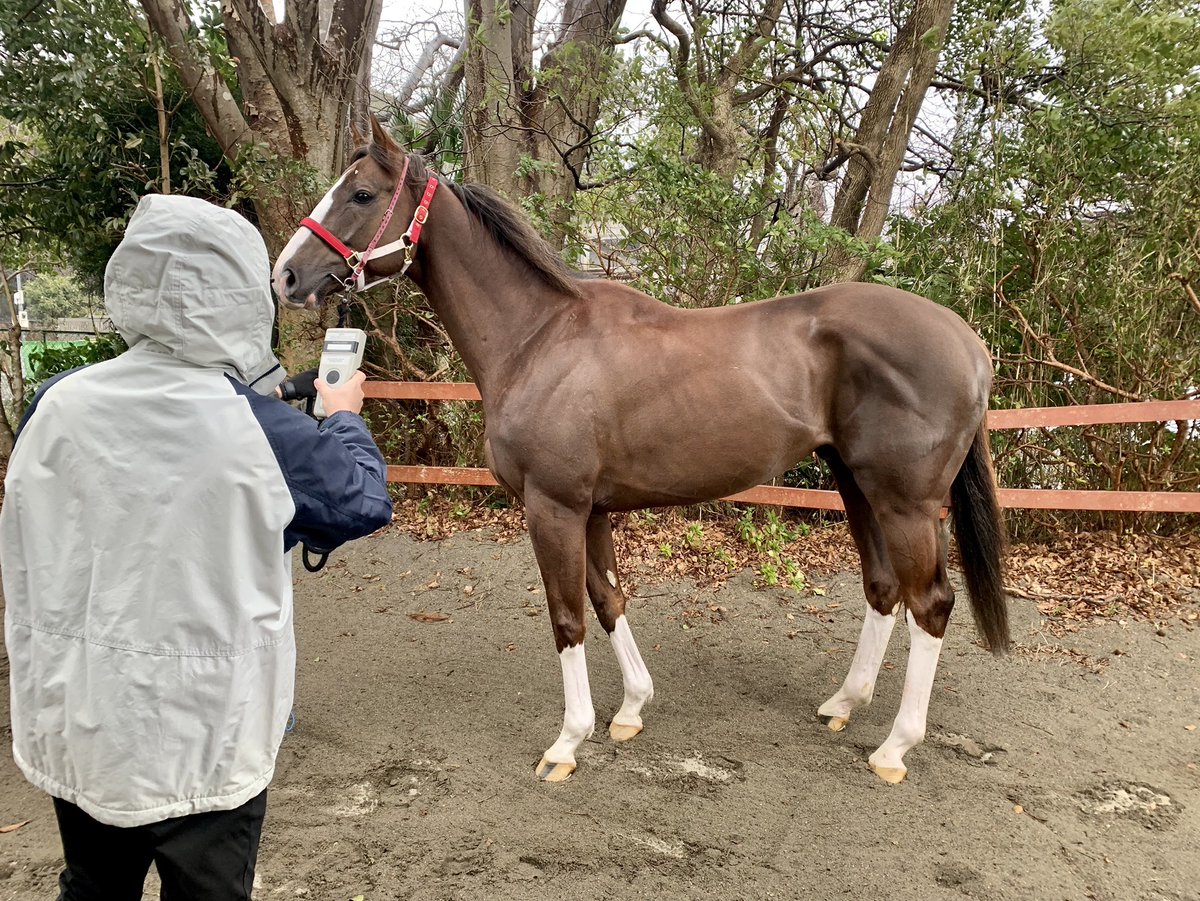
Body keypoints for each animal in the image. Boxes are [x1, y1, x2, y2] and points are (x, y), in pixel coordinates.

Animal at [270, 118, 1003, 782]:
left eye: (361, 193)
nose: (286, 276)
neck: (538, 339)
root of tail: (968, 343)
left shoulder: (553, 506)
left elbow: (568, 616)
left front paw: (568, 741)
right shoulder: (591, 509)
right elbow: (608, 599)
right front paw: (630, 710)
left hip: (905, 502)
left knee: (931, 604)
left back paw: (895, 748)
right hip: (857, 485)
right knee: (883, 590)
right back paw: (845, 703)